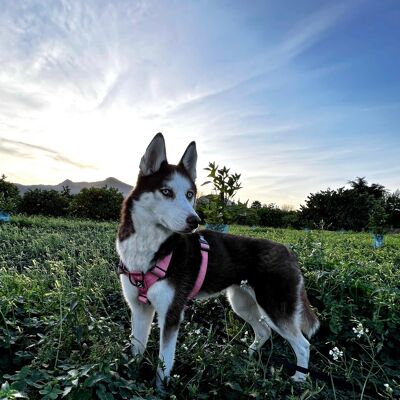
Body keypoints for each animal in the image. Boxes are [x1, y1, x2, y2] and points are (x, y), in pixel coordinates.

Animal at [115, 134, 318, 388]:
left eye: (190, 194)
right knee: (264, 331)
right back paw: (249, 356)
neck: (148, 246)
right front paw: (131, 377)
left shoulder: (171, 314)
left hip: (274, 307)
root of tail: (287, 251)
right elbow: (136, 350)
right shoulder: (139, 308)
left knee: (303, 344)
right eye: (166, 191)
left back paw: (299, 379)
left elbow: (164, 364)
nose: (195, 221)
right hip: (241, 302)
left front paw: (160, 390)